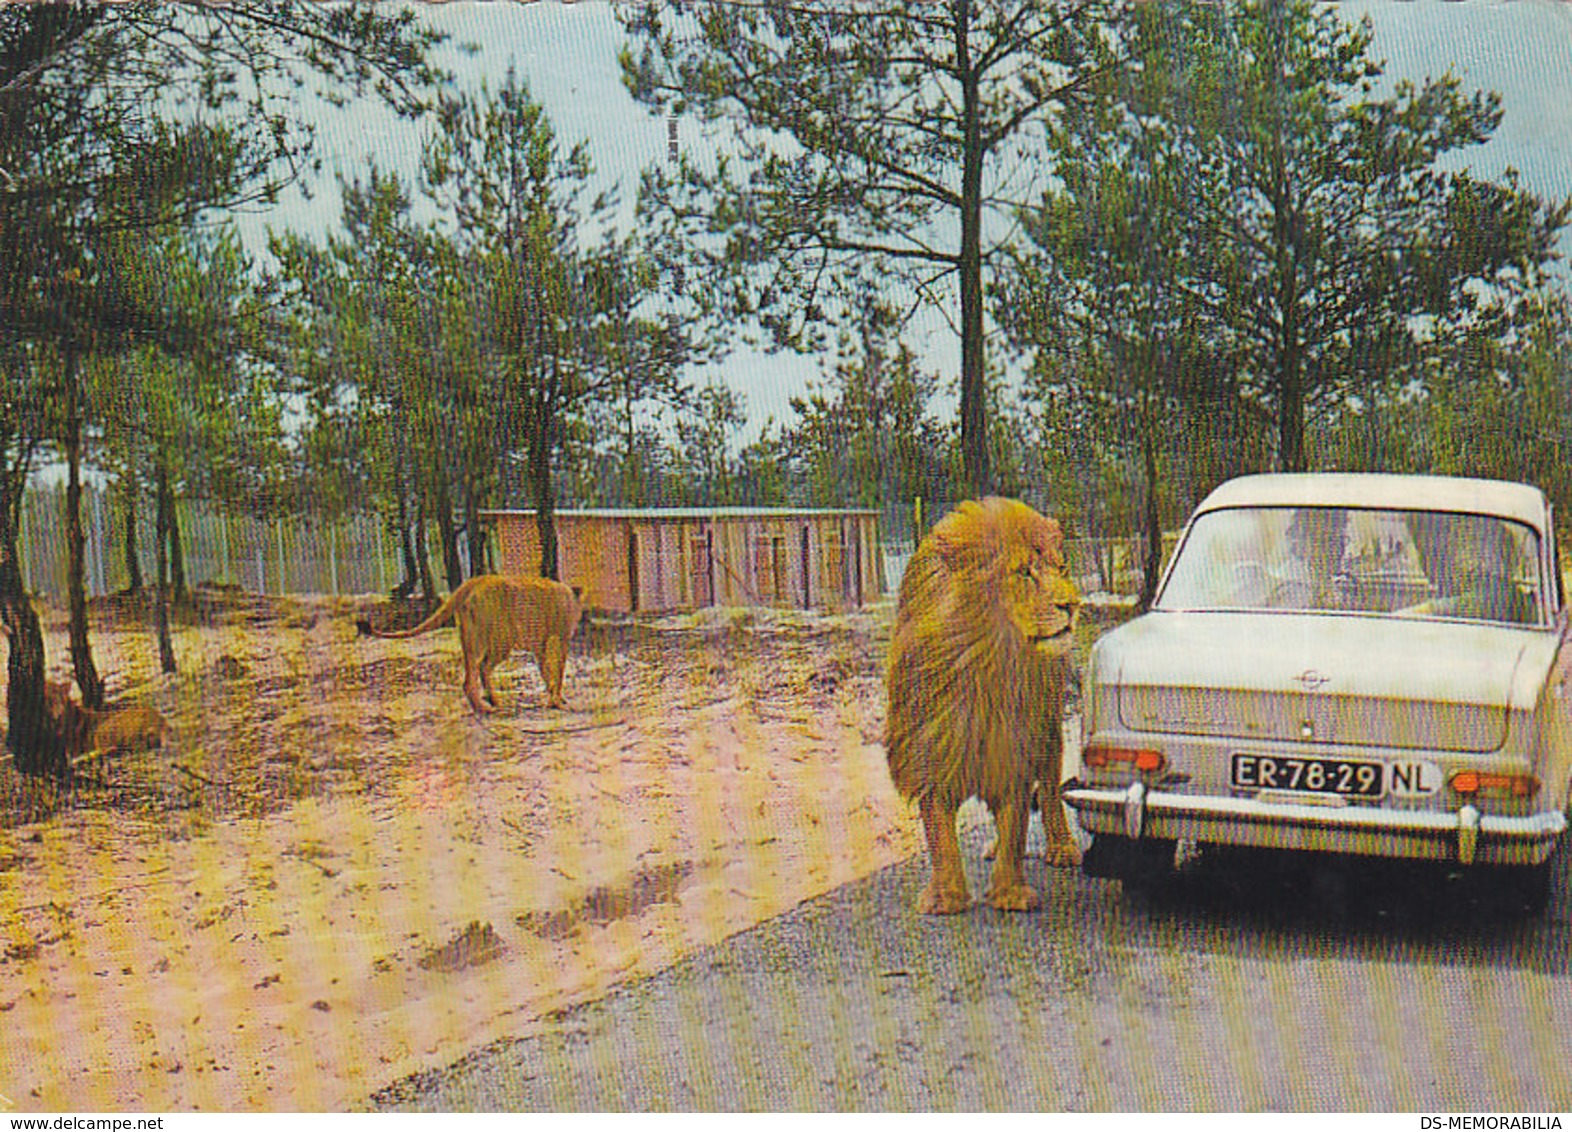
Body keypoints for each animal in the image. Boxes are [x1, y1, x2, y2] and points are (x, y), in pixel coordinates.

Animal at [356, 575, 584, 716]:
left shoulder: (541, 646)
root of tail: (476, 580)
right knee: (483, 668)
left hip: (470, 639)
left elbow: (546, 673)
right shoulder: (559, 640)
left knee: (468, 679)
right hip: (502, 639)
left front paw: (554, 699)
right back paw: (491, 706)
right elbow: (558, 672)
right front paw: (558, 701)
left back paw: (484, 705)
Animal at [886, 499, 1081, 918]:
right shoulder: (933, 749)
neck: (986, 668)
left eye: (1061, 569)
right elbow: (940, 834)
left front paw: (1010, 894)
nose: (1072, 605)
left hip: (1049, 729)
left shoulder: (1016, 748)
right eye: (1024, 572)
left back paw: (1062, 847)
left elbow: (1016, 823)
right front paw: (946, 898)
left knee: (1051, 793)